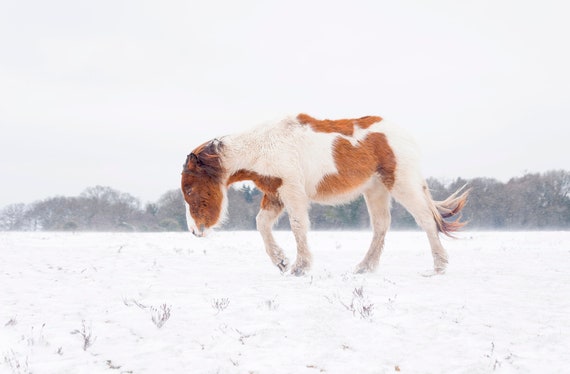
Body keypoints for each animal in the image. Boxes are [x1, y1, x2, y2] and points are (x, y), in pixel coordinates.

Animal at [181, 113, 466, 274]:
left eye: (190, 188)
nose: (194, 231)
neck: (263, 147)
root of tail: (406, 136)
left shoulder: (292, 192)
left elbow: (298, 226)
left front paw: (300, 267)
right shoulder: (275, 194)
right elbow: (261, 224)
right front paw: (281, 261)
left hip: (401, 184)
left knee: (426, 221)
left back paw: (439, 266)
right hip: (375, 191)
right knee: (381, 227)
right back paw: (364, 267)